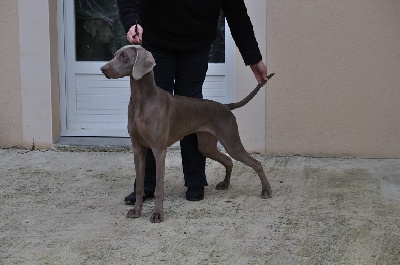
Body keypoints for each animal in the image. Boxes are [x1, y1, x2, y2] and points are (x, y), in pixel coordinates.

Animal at [101, 44, 274, 222]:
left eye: (124, 56)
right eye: (115, 55)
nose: (103, 69)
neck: (142, 100)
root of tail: (226, 106)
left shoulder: (159, 150)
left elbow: (159, 188)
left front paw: (157, 214)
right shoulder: (138, 149)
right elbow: (140, 186)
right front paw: (136, 210)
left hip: (231, 141)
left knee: (255, 163)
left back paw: (266, 190)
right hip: (206, 145)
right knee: (228, 160)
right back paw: (225, 184)